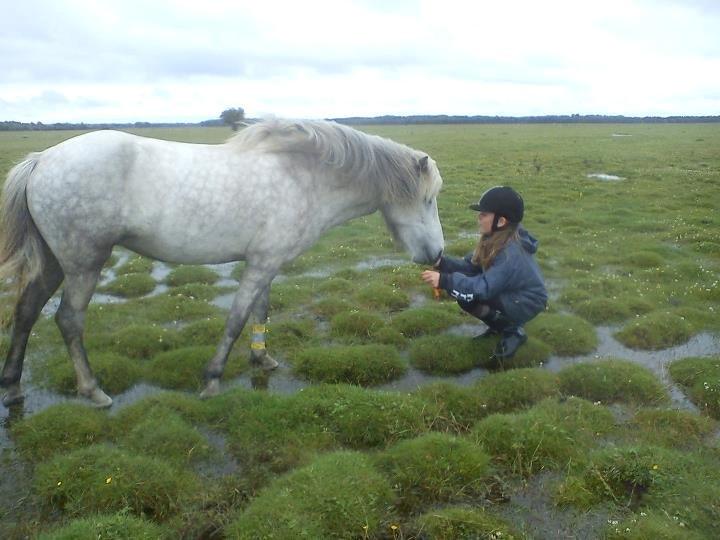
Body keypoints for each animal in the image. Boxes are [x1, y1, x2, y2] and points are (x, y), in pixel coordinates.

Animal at [0, 118, 444, 404]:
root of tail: (41, 160)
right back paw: (92, 390)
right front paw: (213, 378)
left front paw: (262, 358)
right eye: (428, 199)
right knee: (68, 320)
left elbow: (260, 312)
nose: (437, 255)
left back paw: (13, 388)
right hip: (84, 265)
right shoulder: (260, 265)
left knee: (26, 312)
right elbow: (236, 318)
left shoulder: (267, 262)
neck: (303, 178)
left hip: (55, 263)